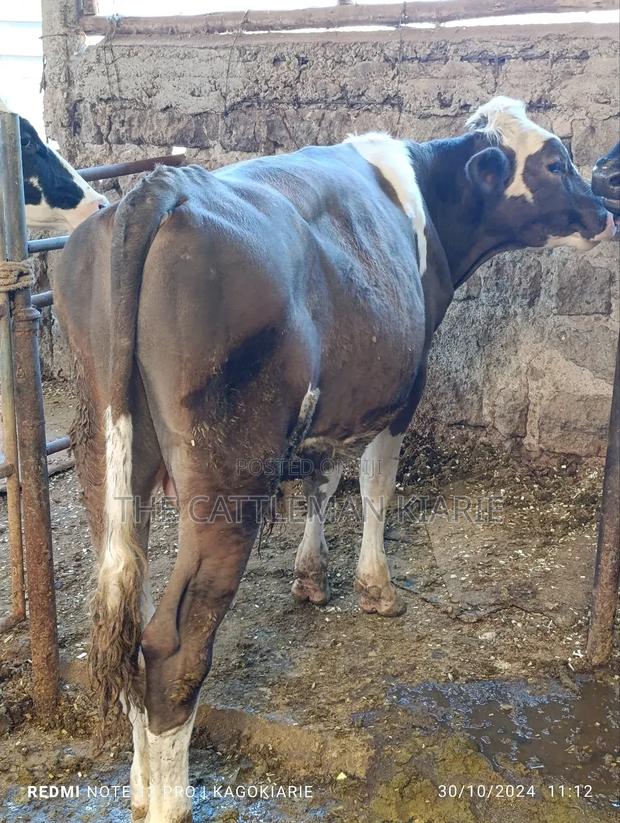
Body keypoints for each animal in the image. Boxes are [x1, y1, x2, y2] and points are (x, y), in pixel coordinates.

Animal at [53, 97, 615, 823]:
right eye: (555, 162)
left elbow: (322, 481)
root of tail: (161, 186)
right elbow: (375, 486)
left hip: (105, 454)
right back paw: (172, 800)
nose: (605, 210)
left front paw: (310, 577)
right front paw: (375, 588)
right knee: (174, 644)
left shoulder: (336, 400)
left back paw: (142, 786)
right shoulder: (404, 387)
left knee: (126, 622)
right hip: (228, 476)